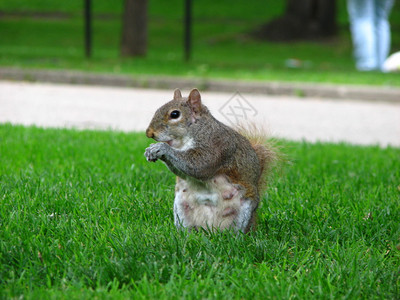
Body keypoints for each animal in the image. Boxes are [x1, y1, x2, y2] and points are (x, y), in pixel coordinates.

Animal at [145, 88, 276, 233]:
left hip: (243, 212)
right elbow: (183, 172)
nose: (149, 133)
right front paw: (151, 150)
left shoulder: (218, 145)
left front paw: (162, 148)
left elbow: (200, 166)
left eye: (175, 114)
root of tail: (210, 230)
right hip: (181, 209)